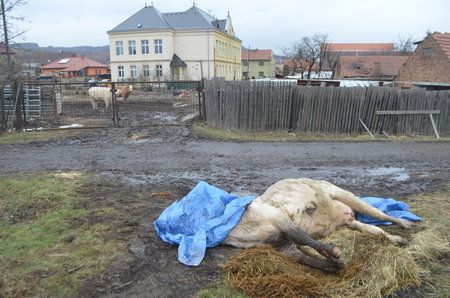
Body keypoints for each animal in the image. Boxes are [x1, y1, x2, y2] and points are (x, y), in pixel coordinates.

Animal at [223, 178, 416, 274]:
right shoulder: (281, 244)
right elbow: (305, 258)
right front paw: (335, 264)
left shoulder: (279, 217)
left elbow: (303, 237)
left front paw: (334, 253)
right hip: (350, 222)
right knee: (376, 231)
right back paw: (399, 240)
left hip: (344, 194)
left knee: (379, 214)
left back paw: (405, 224)